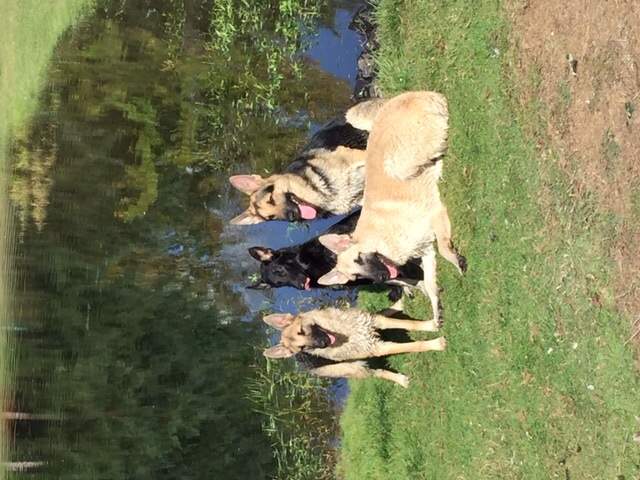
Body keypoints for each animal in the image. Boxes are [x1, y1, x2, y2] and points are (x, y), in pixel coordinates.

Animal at [260, 308, 444, 386]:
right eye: (303, 347)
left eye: (301, 331)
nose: (323, 344)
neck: (343, 333)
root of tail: (301, 363)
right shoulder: (378, 348)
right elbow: (415, 346)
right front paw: (435, 344)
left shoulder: (374, 322)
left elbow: (409, 324)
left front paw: (430, 325)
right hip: (357, 369)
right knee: (378, 373)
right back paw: (400, 380)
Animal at [318, 91, 468, 322]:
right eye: (355, 276)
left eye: (359, 258)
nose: (382, 277)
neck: (379, 239)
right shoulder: (425, 250)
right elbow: (430, 282)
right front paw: (436, 312)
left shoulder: (434, 214)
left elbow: (443, 249)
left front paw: (456, 261)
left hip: (399, 164)